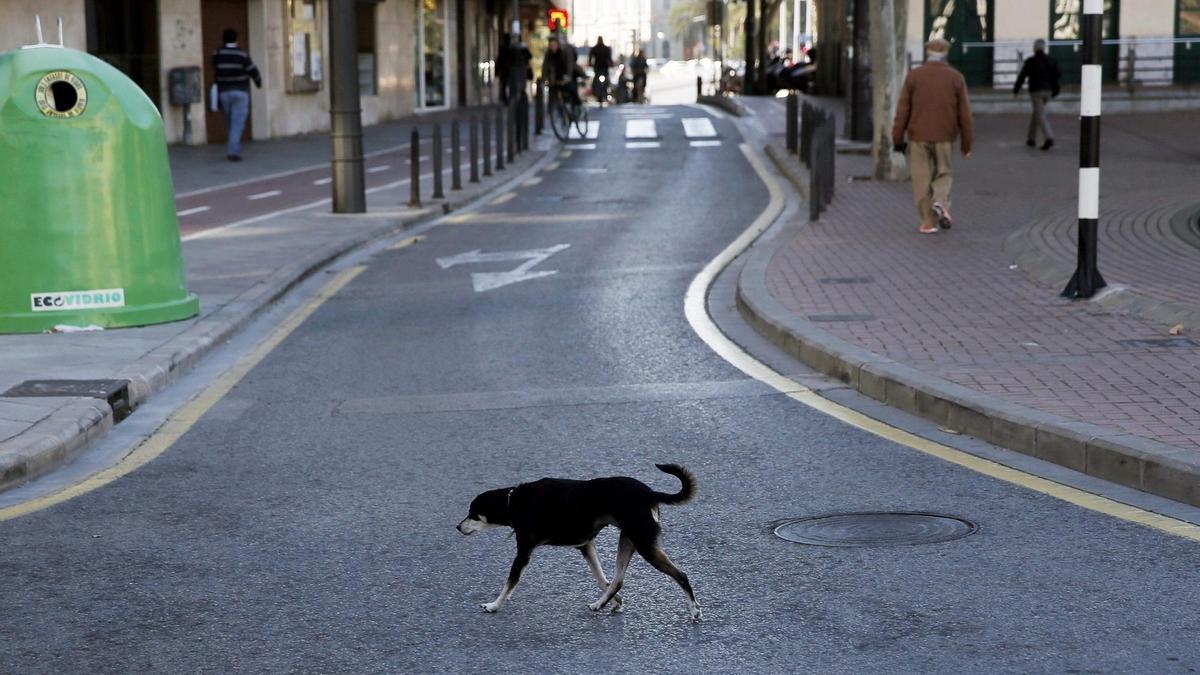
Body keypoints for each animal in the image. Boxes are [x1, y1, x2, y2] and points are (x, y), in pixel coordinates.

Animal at [458, 466, 700, 619]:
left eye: (472, 514)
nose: (458, 527)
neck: (512, 501)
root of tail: (650, 493)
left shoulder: (524, 553)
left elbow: (509, 583)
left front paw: (493, 606)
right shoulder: (585, 546)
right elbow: (602, 580)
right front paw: (617, 601)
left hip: (644, 544)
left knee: (681, 575)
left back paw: (694, 610)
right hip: (628, 541)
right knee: (617, 580)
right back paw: (600, 604)